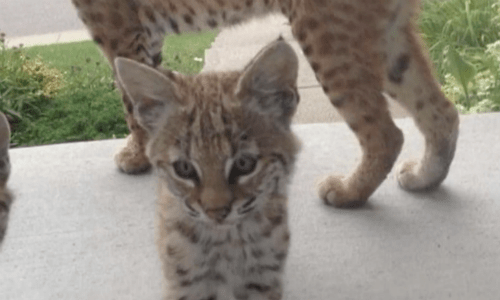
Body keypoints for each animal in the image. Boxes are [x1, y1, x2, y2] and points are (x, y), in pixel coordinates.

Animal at [116, 40, 300, 300]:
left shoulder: (263, 278)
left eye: (244, 164)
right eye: (184, 168)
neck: (229, 240)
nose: (216, 213)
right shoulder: (187, 283)